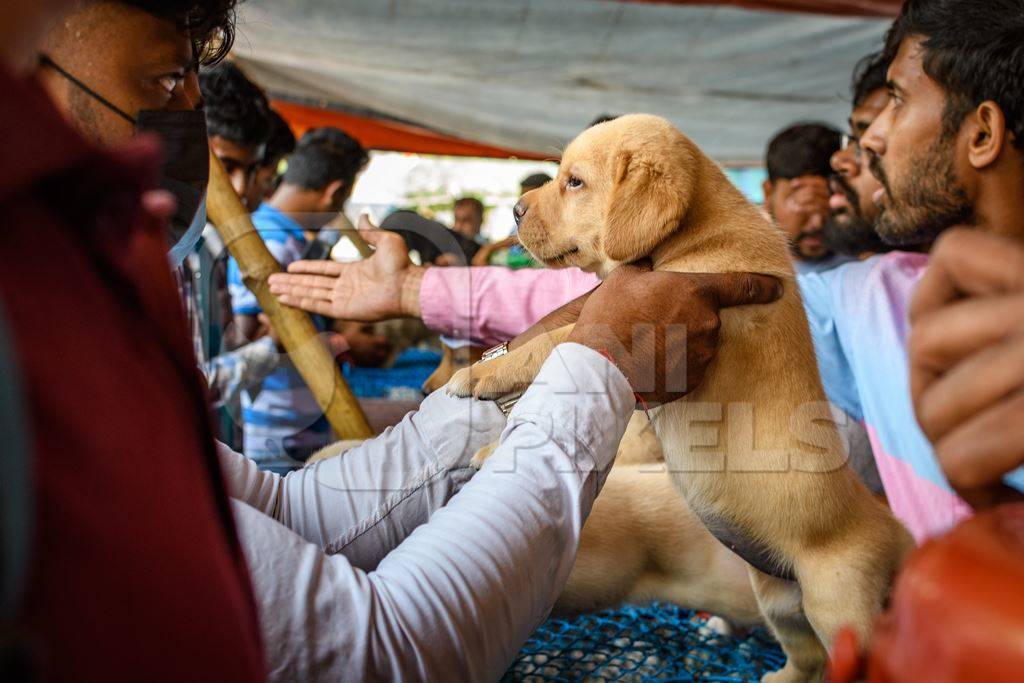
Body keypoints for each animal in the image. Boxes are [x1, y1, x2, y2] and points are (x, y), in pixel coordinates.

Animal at [448, 114, 913, 679]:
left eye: (574, 182)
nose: (514, 210)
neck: (693, 236)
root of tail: (893, 529)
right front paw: (492, 445)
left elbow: (552, 343)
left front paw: (479, 373)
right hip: (780, 600)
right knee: (806, 659)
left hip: (837, 601)